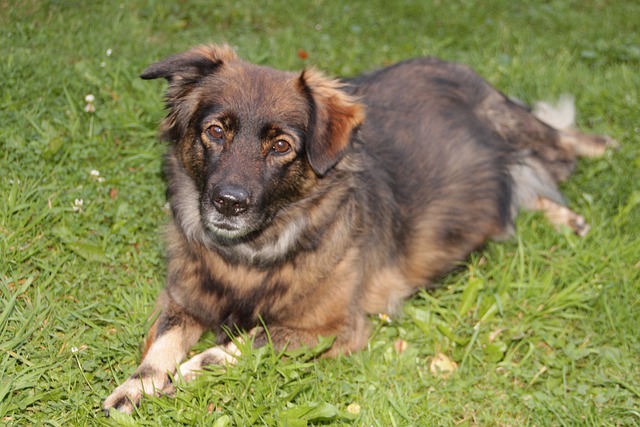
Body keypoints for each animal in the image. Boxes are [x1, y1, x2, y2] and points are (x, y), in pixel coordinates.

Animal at [102, 44, 612, 414]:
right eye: (215, 131)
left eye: (281, 146)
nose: (228, 202)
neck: (254, 254)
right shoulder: (181, 300)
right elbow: (161, 345)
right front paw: (138, 386)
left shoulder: (332, 328)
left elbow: (238, 344)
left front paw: (188, 373)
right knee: (522, 187)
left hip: (518, 128)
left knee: (561, 145)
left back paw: (598, 152)